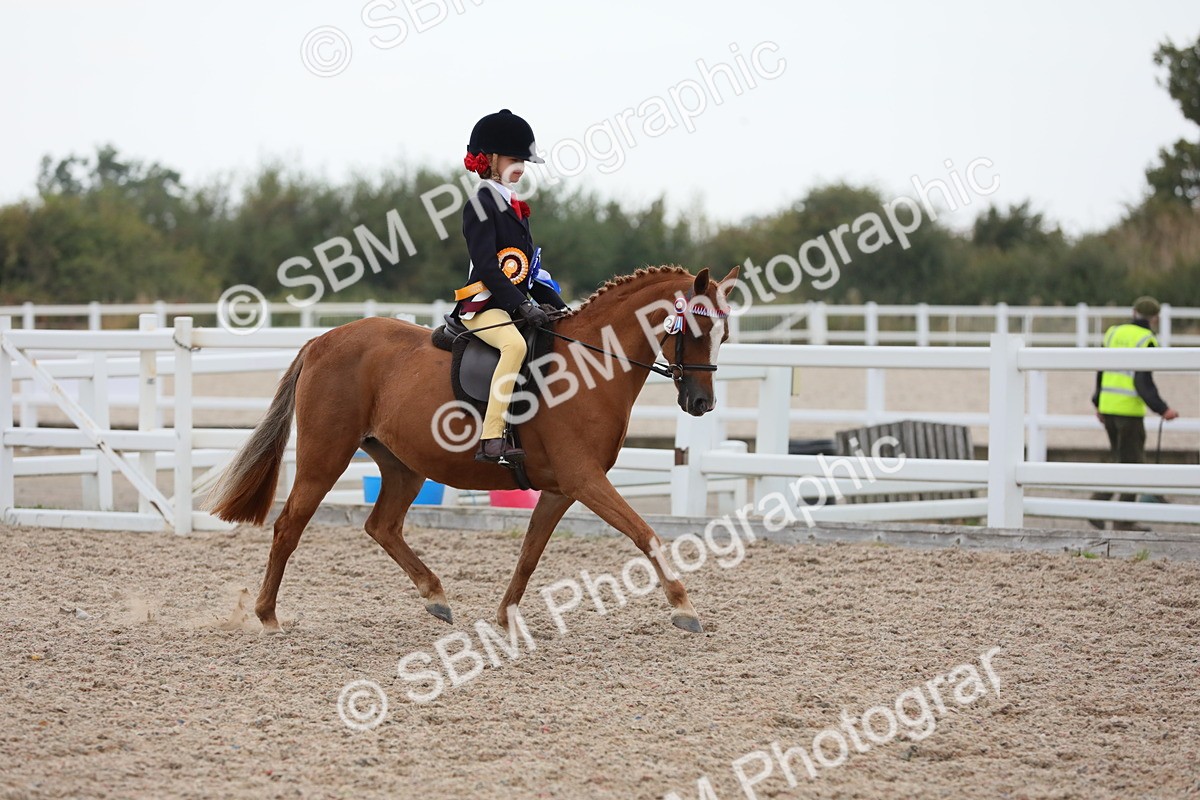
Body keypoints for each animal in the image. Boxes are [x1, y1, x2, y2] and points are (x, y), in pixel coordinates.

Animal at [206, 264, 739, 635]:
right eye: (694, 330)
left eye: (725, 334)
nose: (701, 403)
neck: (591, 365)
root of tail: (320, 340)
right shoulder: (586, 479)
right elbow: (646, 533)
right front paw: (684, 608)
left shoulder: (561, 489)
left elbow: (529, 553)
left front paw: (506, 617)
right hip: (326, 457)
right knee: (289, 526)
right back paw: (267, 616)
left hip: (403, 465)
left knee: (382, 526)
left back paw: (436, 597)